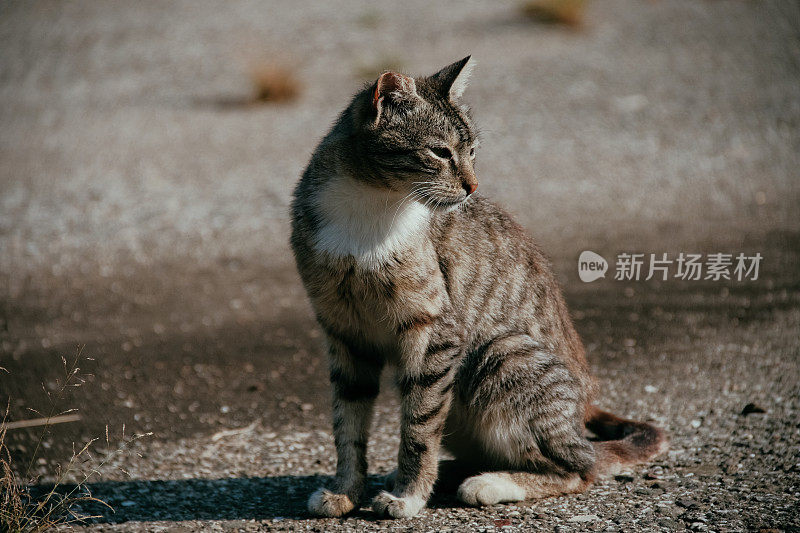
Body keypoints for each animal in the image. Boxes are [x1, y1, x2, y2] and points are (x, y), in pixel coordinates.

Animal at [290, 57, 664, 516]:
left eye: (472, 153)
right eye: (440, 152)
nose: (473, 187)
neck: (369, 207)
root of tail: (580, 424)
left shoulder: (436, 333)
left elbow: (418, 428)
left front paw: (409, 495)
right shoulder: (345, 334)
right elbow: (348, 426)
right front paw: (346, 489)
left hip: (498, 354)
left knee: (579, 468)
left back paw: (489, 483)